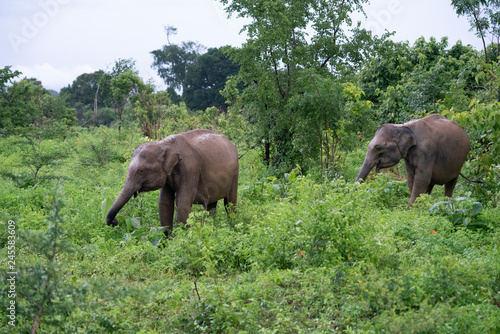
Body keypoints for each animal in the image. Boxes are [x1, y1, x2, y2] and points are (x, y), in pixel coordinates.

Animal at [105, 129, 238, 234]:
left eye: (141, 171)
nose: (115, 221)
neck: (163, 144)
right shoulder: (167, 176)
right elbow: (164, 203)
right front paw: (166, 241)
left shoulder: (191, 169)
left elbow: (182, 201)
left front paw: (181, 239)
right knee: (212, 206)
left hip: (235, 172)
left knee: (230, 203)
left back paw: (232, 226)